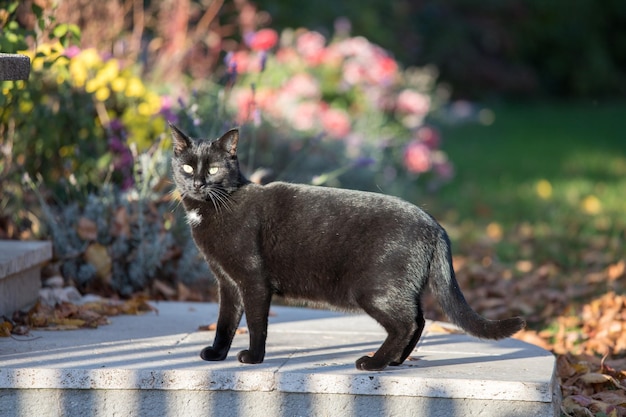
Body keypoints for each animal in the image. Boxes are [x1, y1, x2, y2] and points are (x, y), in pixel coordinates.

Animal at [169, 124, 520, 370]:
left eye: (213, 169)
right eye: (187, 168)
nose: (198, 183)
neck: (213, 209)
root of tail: (435, 225)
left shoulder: (253, 280)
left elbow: (256, 323)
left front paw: (254, 358)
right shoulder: (227, 282)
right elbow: (225, 321)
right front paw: (217, 354)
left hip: (374, 290)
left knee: (406, 323)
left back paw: (373, 363)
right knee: (418, 321)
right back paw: (394, 361)